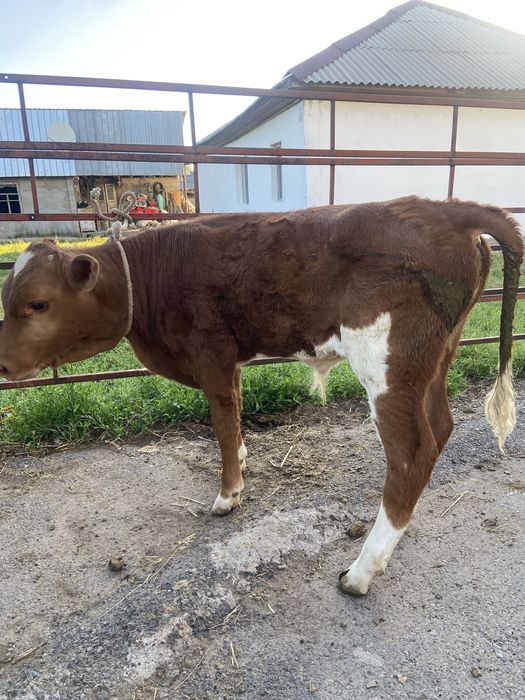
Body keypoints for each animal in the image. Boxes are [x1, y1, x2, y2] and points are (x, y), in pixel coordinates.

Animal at [0, 196, 522, 596]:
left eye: (39, 303)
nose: (2, 364)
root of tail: (442, 208)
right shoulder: (228, 361)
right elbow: (234, 416)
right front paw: (244, 460)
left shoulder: (210, 354)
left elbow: (221, 424)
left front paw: (228, 494)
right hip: (435, 359)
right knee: (441, 427)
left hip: (387, 363)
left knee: (412, 450)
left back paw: (361, 570)